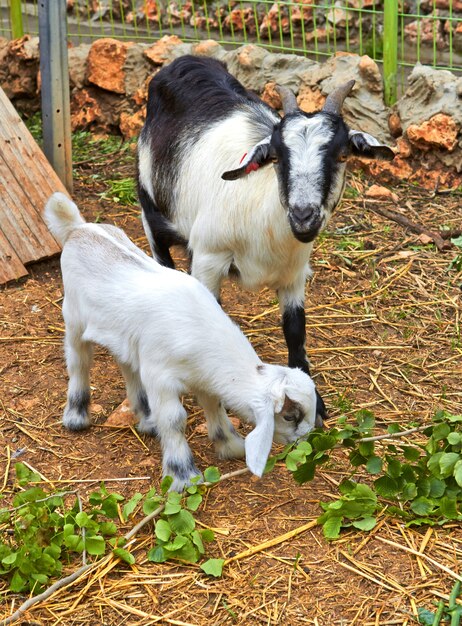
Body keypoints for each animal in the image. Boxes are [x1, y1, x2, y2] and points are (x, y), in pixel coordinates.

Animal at [45, 193, 320, 490]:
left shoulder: (203, 378)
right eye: (290, 416)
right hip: (73, 316)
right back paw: (76, 416)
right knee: (78, 362)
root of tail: (79, 228)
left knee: (126, 365)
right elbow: (175, 420)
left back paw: (146, 419)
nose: (307, 441)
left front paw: (230, 445)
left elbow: (214, 405)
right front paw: (183, 475)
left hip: (123, 336)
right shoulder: (160, 377)